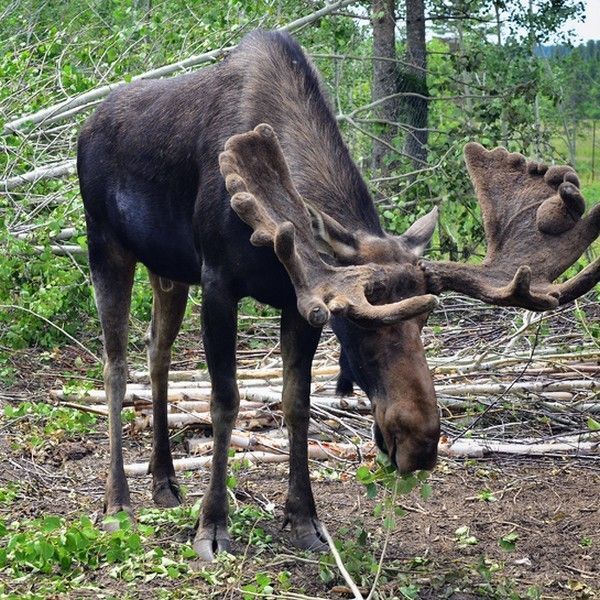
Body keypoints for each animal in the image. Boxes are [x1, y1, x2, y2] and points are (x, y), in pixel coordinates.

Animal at [78, 30, 600, 560]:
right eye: (361, 323)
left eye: (424, 322)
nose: (421, 442)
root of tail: (86, 126)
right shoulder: (220, 281)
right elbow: (225, 401)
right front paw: (213, 526)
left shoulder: (298, 300)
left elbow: (297, 404)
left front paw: (304, 519)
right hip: (106, 245)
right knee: (115, 367)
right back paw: (117, 503)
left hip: (168, 268)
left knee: (157, 353)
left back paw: (163, 480)